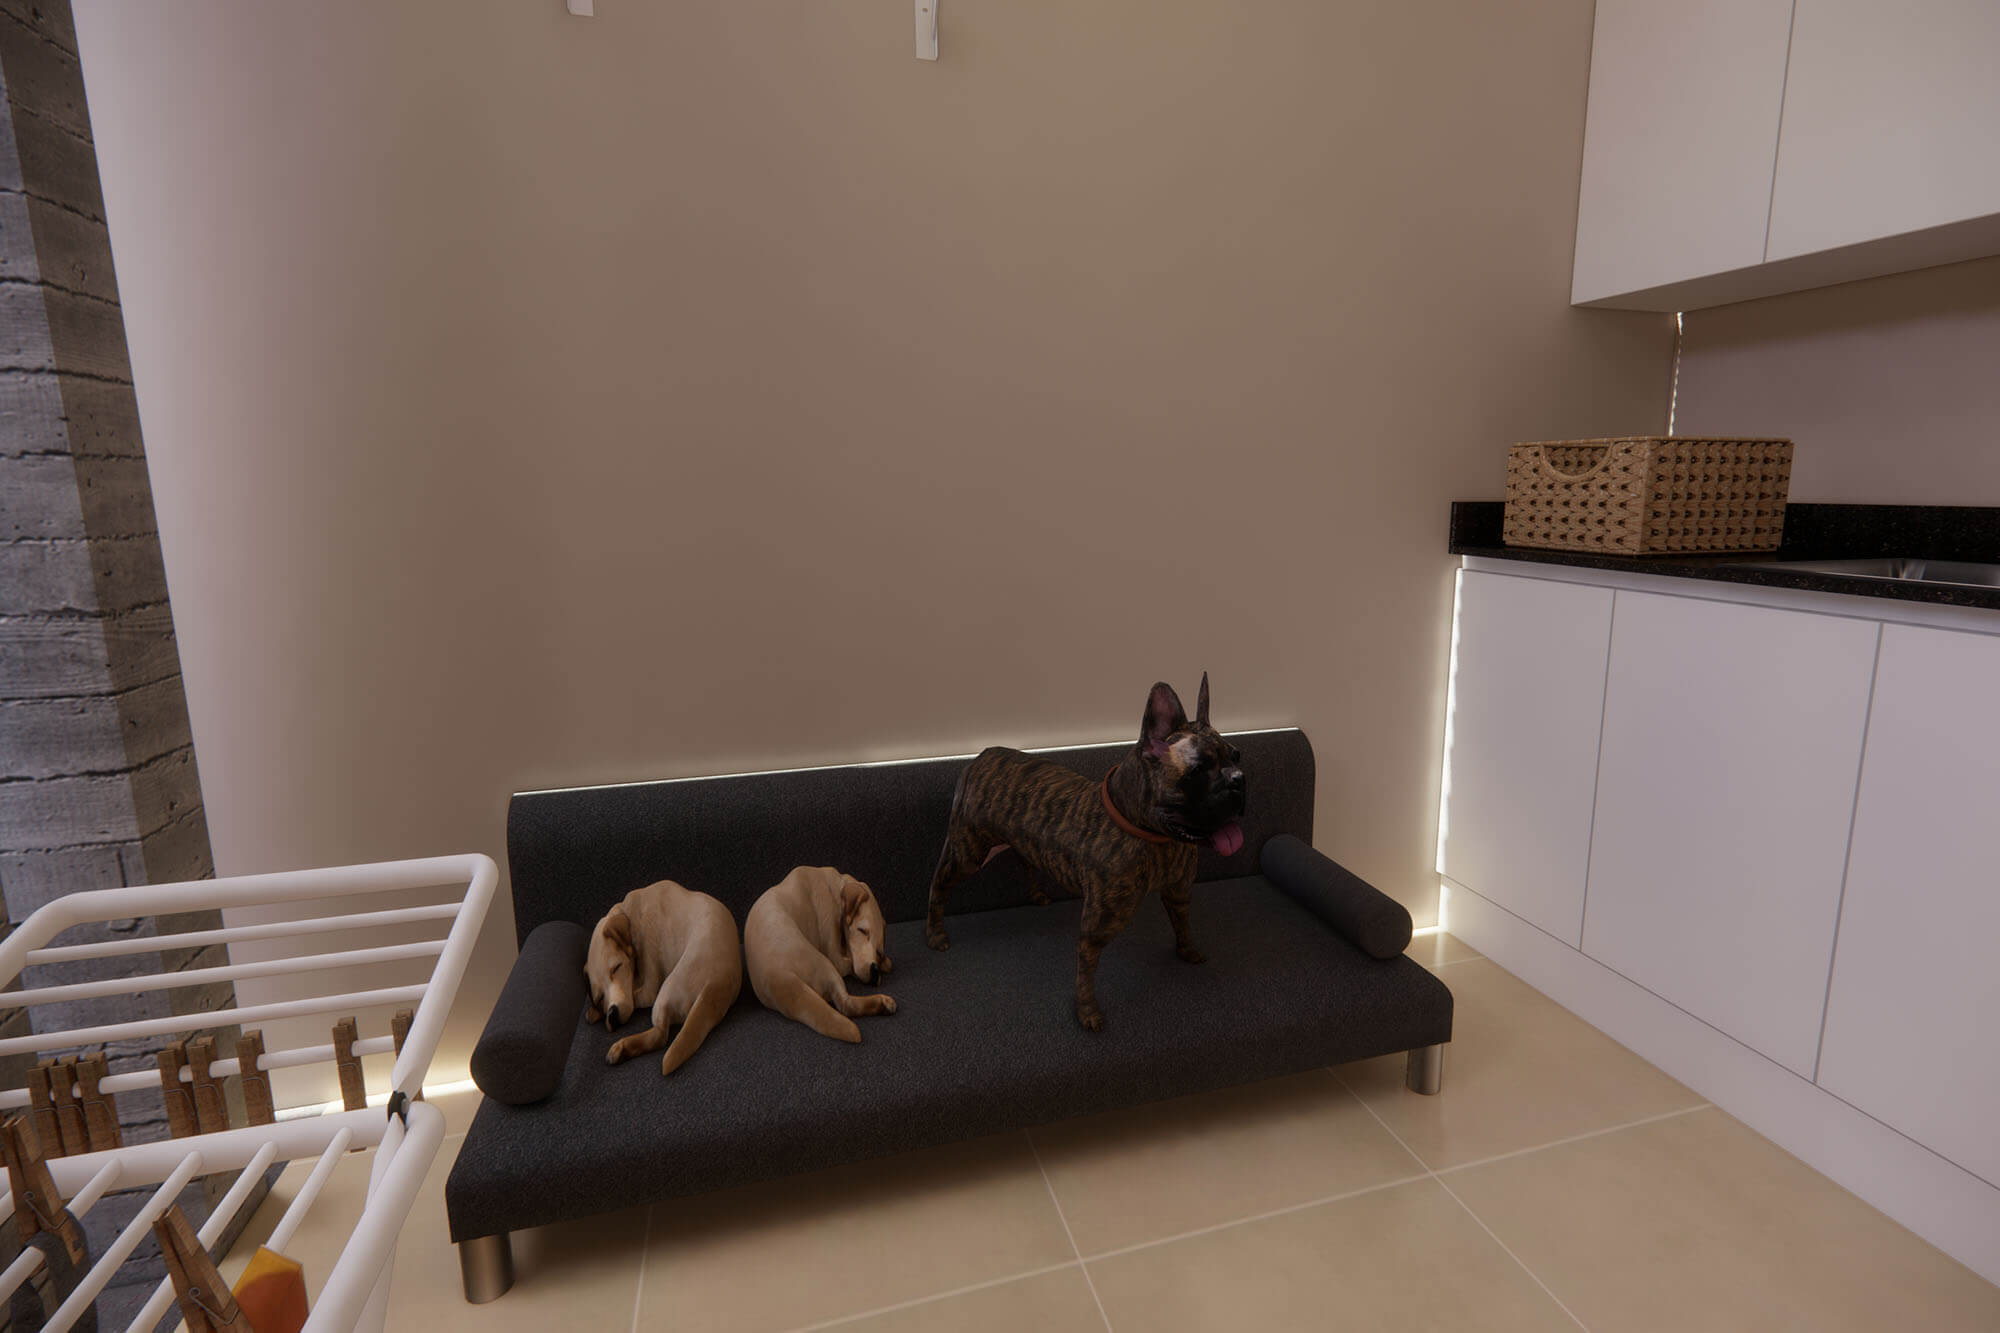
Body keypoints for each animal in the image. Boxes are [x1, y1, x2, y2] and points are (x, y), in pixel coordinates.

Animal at [584, 880, 743, 1075]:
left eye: (617, 968)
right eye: (599, 995)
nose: (613, 1016)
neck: (629, 912)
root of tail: (716, 982)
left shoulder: (649, 984)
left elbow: (638, 995)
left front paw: (599, 1012)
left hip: (666, 990)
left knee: (660, 1035)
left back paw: (621, 1048)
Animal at [744, 866, 896, 1043]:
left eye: (878, 950)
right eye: (862, 930)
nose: (874, 972)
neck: (834, 885)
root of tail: (780, 976)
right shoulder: (833, 949)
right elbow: (847, 962)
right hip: (827, 967)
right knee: (846, 1004)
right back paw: (882, 1002)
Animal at [926, 674, 1246, 1031]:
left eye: (1236, 756)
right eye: (1198, 771)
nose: (1239, 780)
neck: (1155, 839)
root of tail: (982, 755)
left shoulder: (1179, 892)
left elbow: (1183, 923)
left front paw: (1187, 949)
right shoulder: (1097, 927)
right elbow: (1086, 971)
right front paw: (1087, 1010)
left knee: (1024, 858)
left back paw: (1036, 894)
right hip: (967, 853)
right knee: (939, 884)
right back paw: (935, 933)